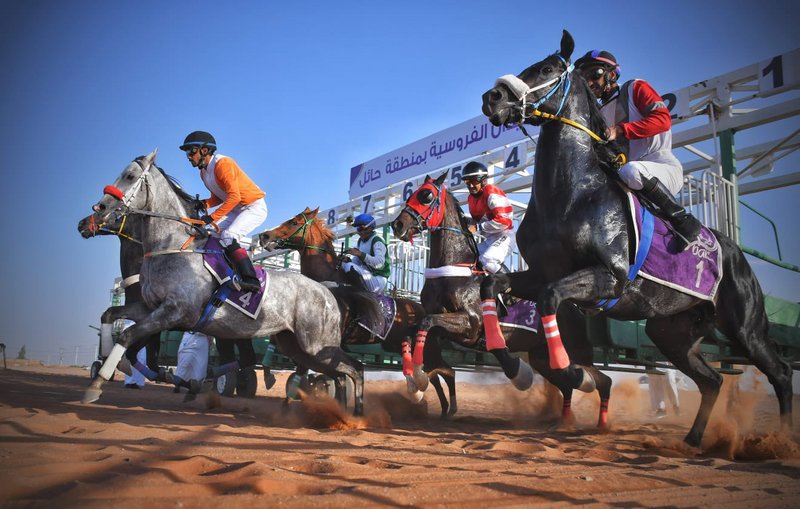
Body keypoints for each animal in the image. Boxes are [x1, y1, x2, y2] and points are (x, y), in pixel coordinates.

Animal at [84, 150, 366, 412]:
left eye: (130, 176)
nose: (98, 210)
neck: (172, 247)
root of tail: (328, 293)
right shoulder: (151, 307)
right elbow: (110, 315)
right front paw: (107, 364)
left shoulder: (175, 312)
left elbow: (128, 335)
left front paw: (97, 383)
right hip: (297, 345)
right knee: (338, 373)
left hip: (316, 344)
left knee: (354, 368)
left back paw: (356, 414)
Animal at [260, 207, 456, 412]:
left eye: (294, 222)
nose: (264, 236)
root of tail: (425, 310)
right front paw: (272, 379)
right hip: (401, 345)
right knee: (434, 376)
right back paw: (441, 408)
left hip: (429, 349)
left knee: (446, 372)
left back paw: (448, 410)